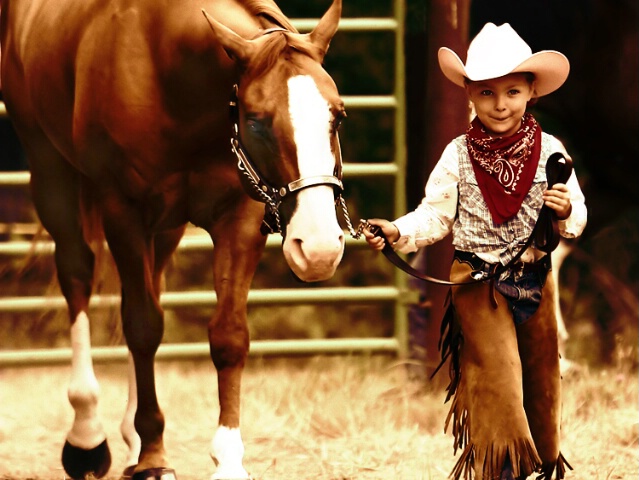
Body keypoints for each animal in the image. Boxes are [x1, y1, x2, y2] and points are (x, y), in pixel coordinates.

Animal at [1, 0, 350, 478]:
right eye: (257, 122)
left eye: (338, 115)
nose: (318, 249)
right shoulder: (123, 211)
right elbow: (143, 326)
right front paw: (151, 454)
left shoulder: (240, 217)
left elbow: (228, 335)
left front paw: (227, 459)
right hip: (51, 174)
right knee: (77, 276)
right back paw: (88, 435)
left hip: (165, 229)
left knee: (152, 285)